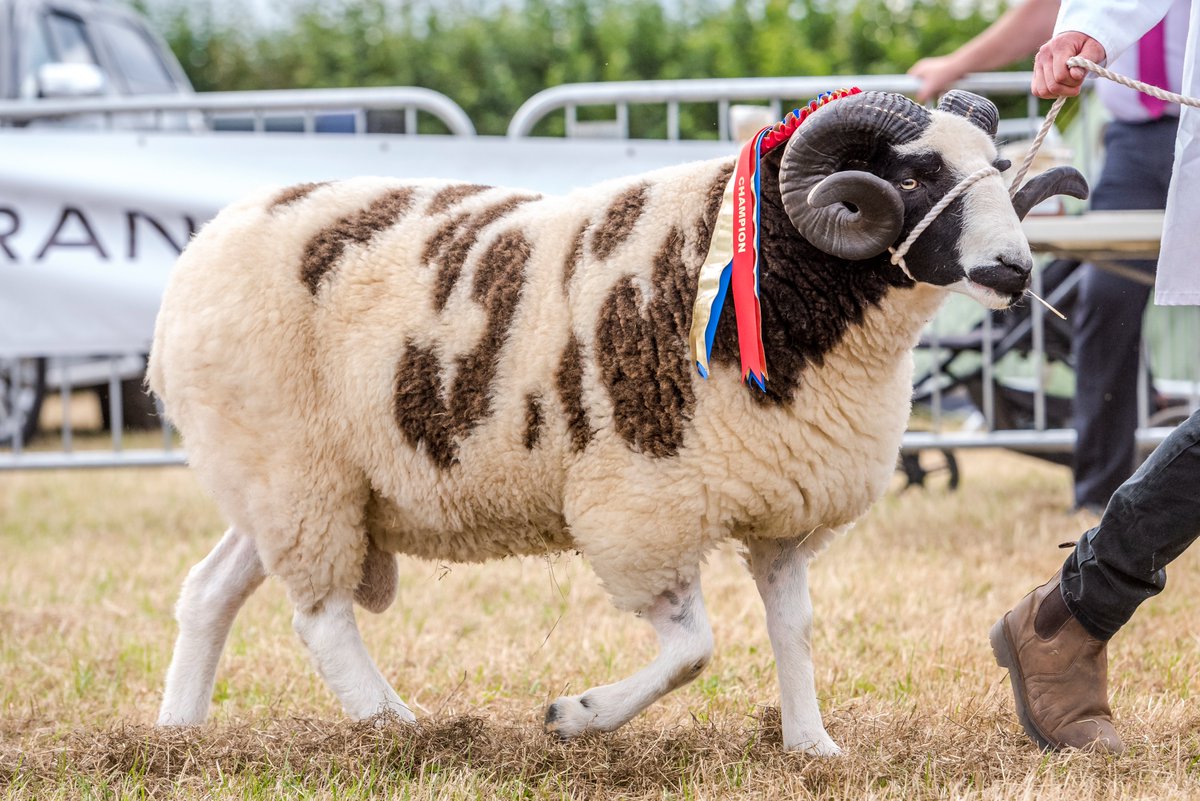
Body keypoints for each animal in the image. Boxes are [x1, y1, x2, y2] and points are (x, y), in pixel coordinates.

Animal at [150, 90, 1089, 753]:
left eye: (998, 165)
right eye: (914, 177)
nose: (1013, 269)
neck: (769, 273)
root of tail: (199, 252)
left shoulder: (784, 508)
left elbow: (793, 631)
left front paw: (812, 745)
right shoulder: (640, 507)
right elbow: (693, 649)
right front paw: (576, 714)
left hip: (289, 481)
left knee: (210, 587)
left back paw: (176, 731)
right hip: (297, 473)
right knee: (320, 615)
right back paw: (393, 724)